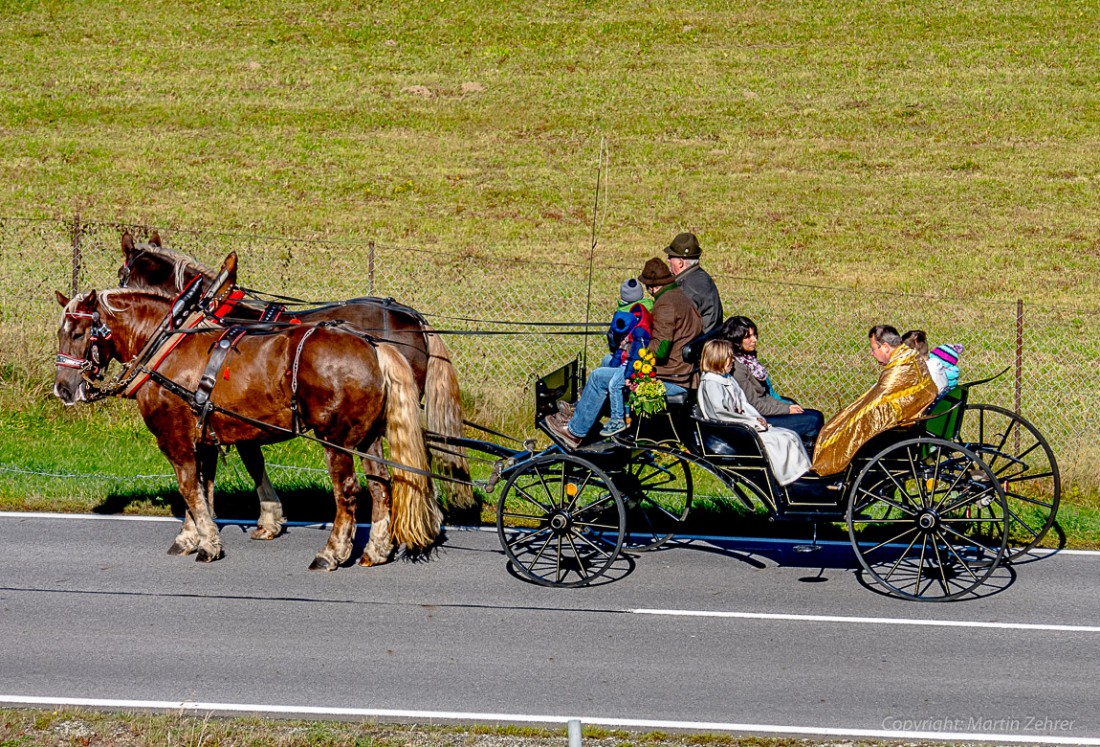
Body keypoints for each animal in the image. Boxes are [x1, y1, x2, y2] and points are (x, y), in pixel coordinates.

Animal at [54, 283, 442, 567]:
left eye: (78, 333)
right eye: (61, 332)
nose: (63, 389)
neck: (169, 344)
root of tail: (372, 344)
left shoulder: (175, 436)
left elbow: (188, 488)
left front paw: (208, 545)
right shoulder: (204, 435)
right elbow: (204, 487)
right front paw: (192, 537)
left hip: (337, 439)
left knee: (347, 491)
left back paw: (331, 553)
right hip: (368, 437)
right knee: (381, 487)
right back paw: (376, 550)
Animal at [118, 233, 470, 536]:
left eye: (122, 274)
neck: (209, 315)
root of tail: (412, 317)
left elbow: (248, 460)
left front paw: (251, 519)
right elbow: (248, 458)